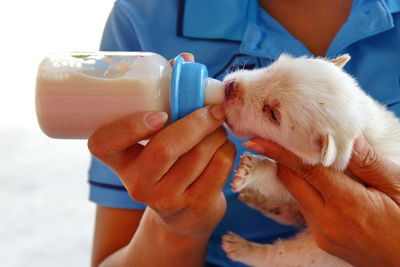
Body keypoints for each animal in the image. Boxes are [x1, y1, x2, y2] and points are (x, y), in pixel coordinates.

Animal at [220, 55, 400, 267]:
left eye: (273, 114)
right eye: (272, 68)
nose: (230, 87)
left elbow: (276, 177)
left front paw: (250, 171)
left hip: (315, 254)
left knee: (279, 257)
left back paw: (240, 246)